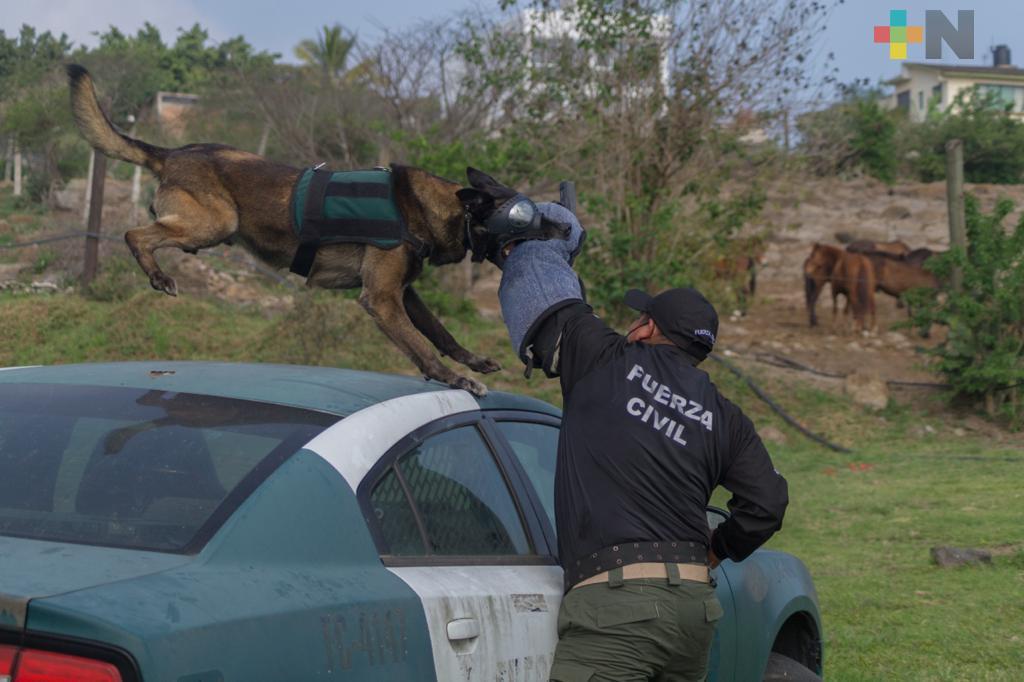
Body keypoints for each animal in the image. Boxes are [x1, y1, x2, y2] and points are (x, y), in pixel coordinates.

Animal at [66, 65, 569, 393]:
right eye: (525, 217)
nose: (567, 232)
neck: (429, 206)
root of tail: (172, 152)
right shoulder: (381, 300)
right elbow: (419, 347)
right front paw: (454, 379)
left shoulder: (403, 293)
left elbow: (440, 334)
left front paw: (472, 362)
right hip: (216, 222)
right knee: (134, 235)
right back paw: (158, 277)